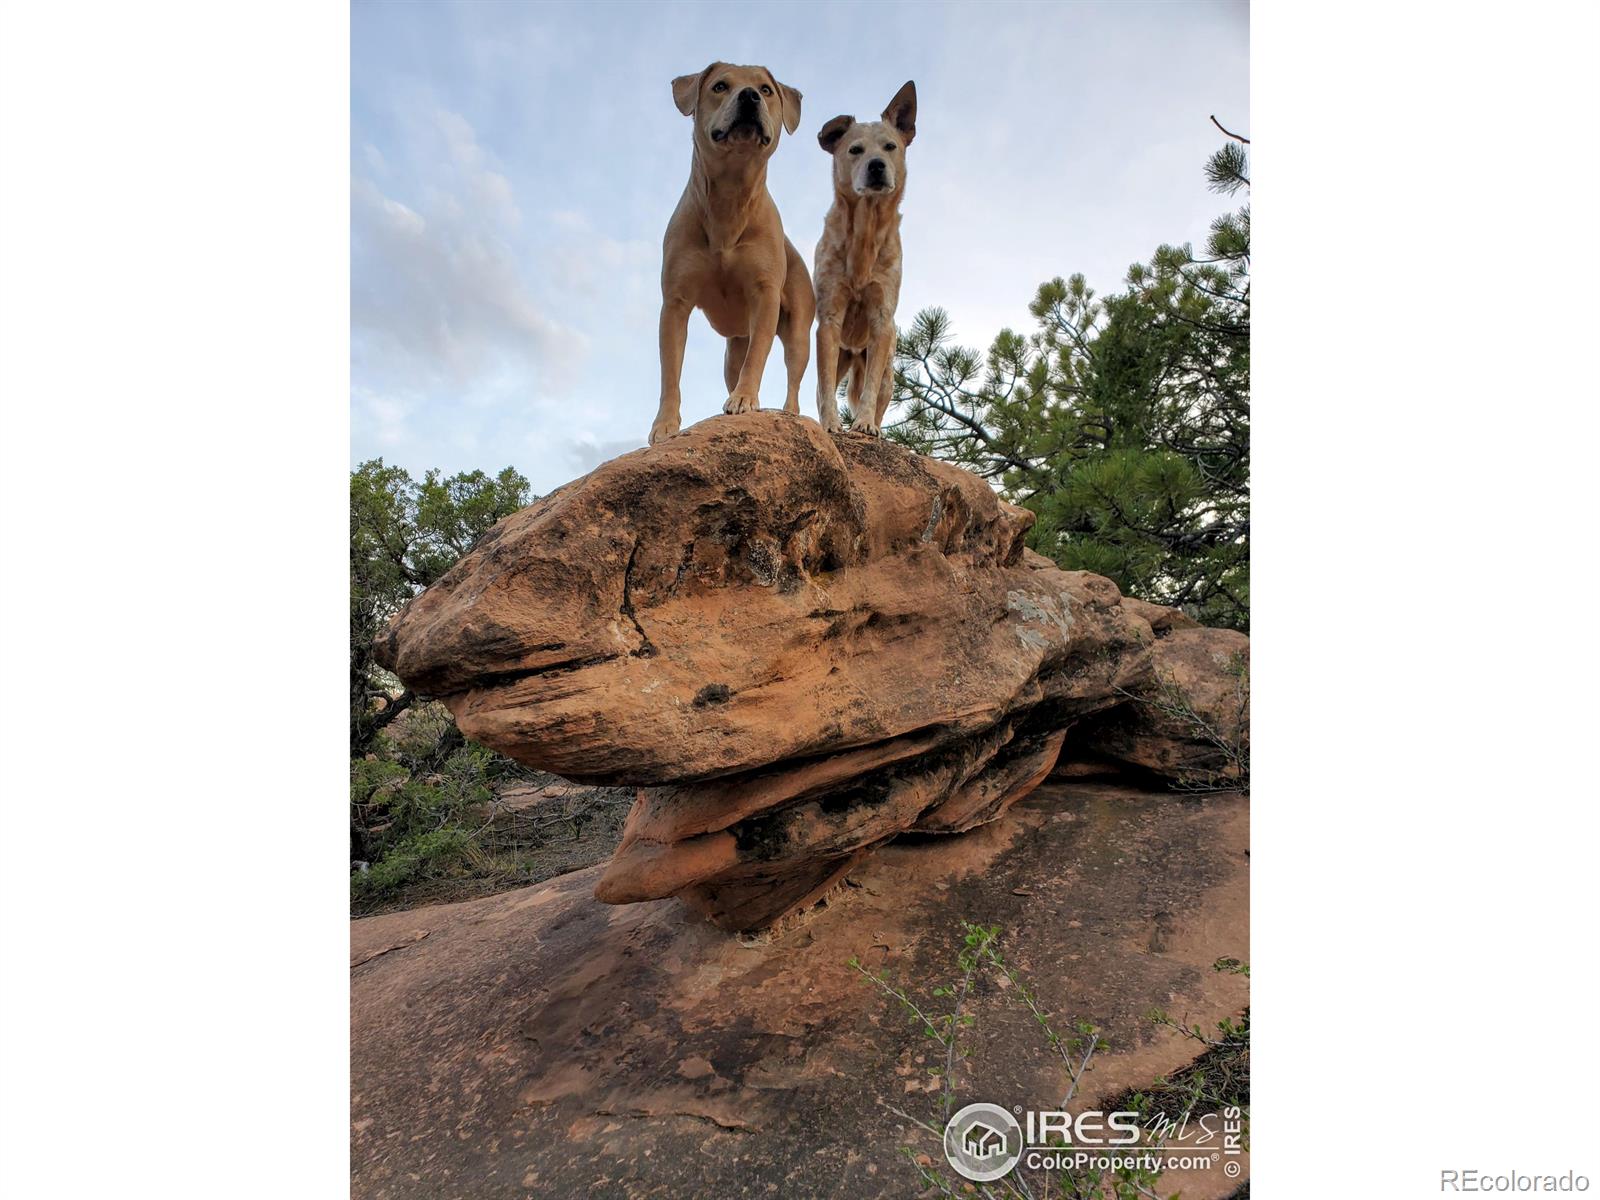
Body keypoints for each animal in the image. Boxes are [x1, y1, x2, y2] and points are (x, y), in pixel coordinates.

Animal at [646, 62, 812, 448]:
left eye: (766, 90)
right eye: (720, 86)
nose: (749, 96)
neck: (730, 196)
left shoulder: (765, 294)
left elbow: (758, 359)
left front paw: (745, 399)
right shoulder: (675, 302)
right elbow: (670, 372)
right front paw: (665, 424)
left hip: (799, 331)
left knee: (793, 379)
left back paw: (790, 413)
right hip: (733, 348)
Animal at [812, 81, 915, 438]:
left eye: (889, 146)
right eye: (855, 150)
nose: (876, 165)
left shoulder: (881, 320)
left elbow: (868, 392)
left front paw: (865, 424)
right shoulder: (829, 320)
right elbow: (826, 390)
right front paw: (831, 425)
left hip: (885, 368)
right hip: (840, 353)